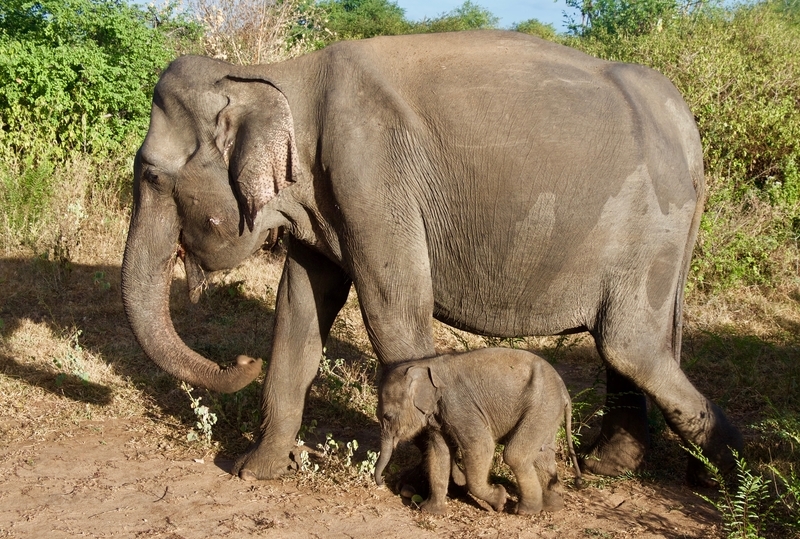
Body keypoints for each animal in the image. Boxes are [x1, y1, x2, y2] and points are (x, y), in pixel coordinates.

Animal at [122, 31, 740, 484]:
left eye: (152, 176)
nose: (240, 362)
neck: (277, 74)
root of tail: (690, 133)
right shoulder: (318, 199)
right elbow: (299, 312)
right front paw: (254, 473)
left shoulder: (369, 176)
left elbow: (395, 311)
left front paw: (423, 483)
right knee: (624, 351)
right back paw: (613, 466)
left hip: (653, 232)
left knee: (630, 348)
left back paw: (726, 479)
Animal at [376, 348, 580, 516]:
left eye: (388, 416)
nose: (381, 482)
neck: (426, 363)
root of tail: (565, 392)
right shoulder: (438, 415)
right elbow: (439, 453)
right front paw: (430, 511)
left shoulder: (459, 406)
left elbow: (481, 446)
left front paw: (500, 499)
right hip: (547, 413)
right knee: (542, 455)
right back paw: (551, 506)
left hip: (541, 406)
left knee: (516, 455)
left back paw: (525, 511)